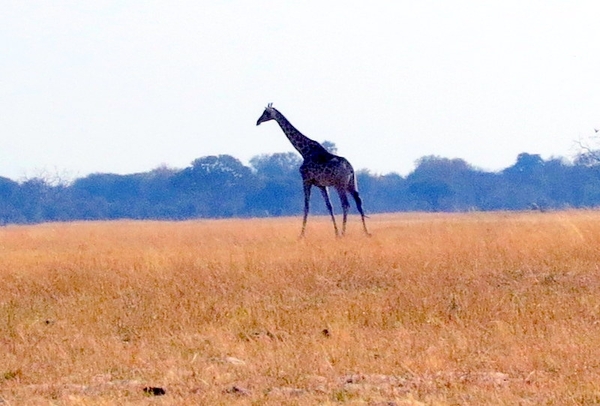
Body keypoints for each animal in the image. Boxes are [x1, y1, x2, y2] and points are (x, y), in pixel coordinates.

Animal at [254, 102, 368, 238]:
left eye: (266, 112)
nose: (257, 121)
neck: (304, 151)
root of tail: (350, 168)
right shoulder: (321, 185)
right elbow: (329, 206)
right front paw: (335, 232)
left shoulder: (306, 180)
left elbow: (306, 206)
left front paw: (301, 235)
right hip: (351, 184)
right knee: (358, 202)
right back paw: (366, 232)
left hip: (339, 185)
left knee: (346, 204)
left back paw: (343, 233)